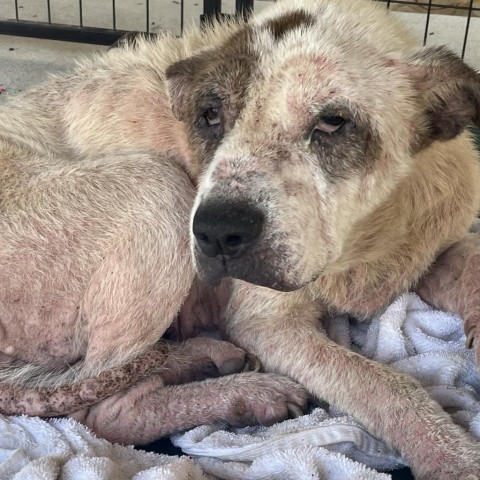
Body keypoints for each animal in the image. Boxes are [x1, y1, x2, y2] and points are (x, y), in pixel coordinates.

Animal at [0, 0, 480, 476]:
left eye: (332, 122)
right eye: (210, 115)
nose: (216, 232)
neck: (365, 241)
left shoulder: (434, 240)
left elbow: (466, 259)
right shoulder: (268, 324)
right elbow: (385, 385)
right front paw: (453, 458)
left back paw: (200, 356)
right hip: (160, 188)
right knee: (104, 409)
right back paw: (243, 392)